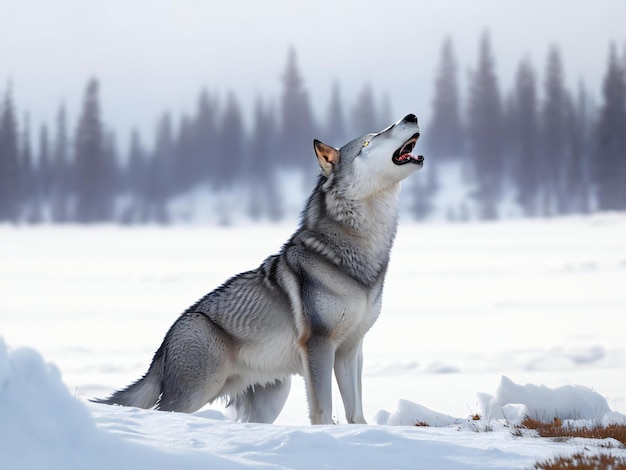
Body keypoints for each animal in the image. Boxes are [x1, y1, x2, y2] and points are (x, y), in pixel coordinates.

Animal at [94, 114, 424, 426]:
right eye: (369, 141)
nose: (411, 116)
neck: (358, 252)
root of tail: (162, 348)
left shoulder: (351, 349)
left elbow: (356, 413)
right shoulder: (318, 344)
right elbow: (323, 409)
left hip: (272, 398)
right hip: (199, 391)